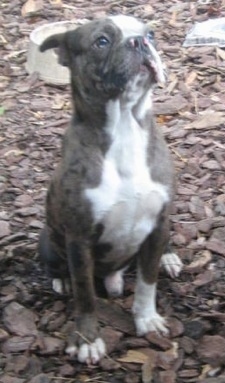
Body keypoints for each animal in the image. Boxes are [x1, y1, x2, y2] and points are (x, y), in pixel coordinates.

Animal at [39, 15, 183, 366]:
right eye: (101, 41)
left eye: (151, 34)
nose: (139, 42)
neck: (125, 127)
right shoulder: (79, 240)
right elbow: (86, 295)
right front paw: (87, 340)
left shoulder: (158, 222)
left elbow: (147, 281)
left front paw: (147, 319)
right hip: (48, 237)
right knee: (59, 266)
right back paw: (61, 278)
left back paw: (169, 256)